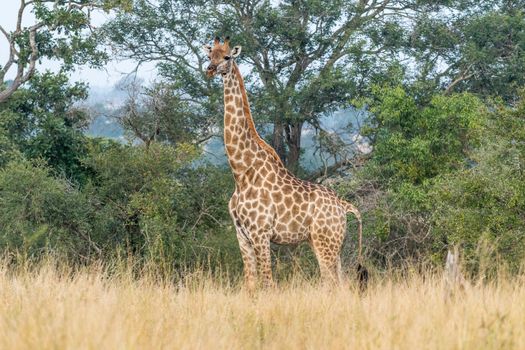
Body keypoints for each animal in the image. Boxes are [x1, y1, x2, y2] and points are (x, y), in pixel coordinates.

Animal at [205, 37, 364, 290]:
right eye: (210, 55)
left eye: (227, 57)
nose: (210, 70)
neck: (241, 172)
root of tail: (344, 205)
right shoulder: (242, 236)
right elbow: (250, 286)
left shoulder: (260, 234)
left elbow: (268, 284)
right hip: (327, 244)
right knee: (340, 283)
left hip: (325, 243)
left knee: (332, 283)